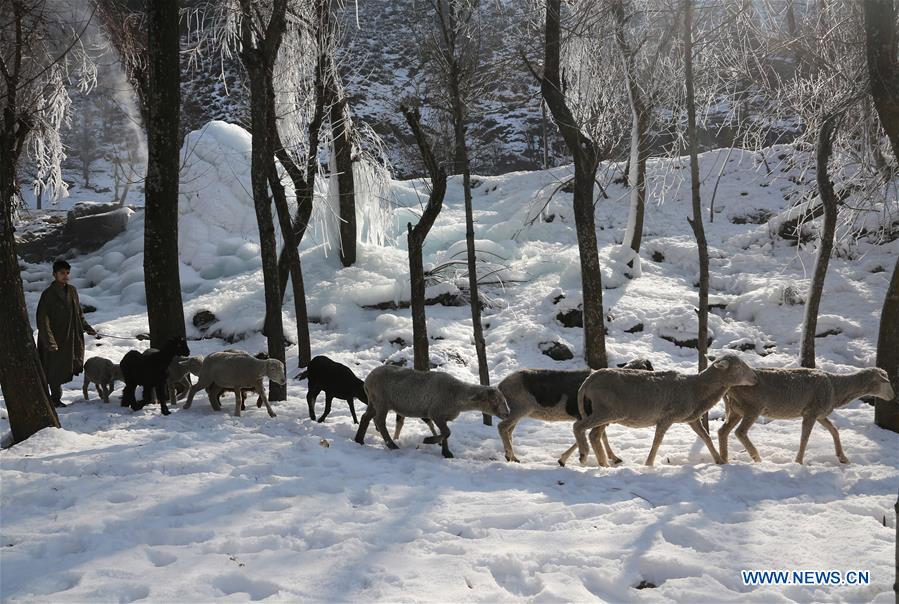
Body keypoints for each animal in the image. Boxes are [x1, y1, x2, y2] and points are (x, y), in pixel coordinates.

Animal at [358, 366, 512, 460]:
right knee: (380, 422)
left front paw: (446, 453)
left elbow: (446, 434)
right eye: (495, 400)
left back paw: (359, 440)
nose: (508, 414)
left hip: (373, 401)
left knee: (365, 417)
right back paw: (392, 445)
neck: (456, 394)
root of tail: (367, 380)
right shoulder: (436, 413)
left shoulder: (443, 417)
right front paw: (429, 440)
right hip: (381, 401)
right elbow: (447, 432)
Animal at [500, 356, 652, 464]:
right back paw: (509, 455)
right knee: (502, 427)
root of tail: (502, 385)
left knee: (509, 431)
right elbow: (592, 435)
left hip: (516, 413)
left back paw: (513, 458)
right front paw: (566, 460)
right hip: (519, 410)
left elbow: (601, 436)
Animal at [568, 354, 760, 468]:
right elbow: (657, 441)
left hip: (606, 412)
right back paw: (583, 456)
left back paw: (603, 464)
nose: (755, 378)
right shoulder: (667, 417)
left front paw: (719, 460)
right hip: (606, 411)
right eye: (738, 367)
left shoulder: (692, 418)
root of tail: (588, 381)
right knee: (579, 426)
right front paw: (648, 464)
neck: (696, 389)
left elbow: (706, 437)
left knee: (594, 435)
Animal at [716, 366, 892, 464]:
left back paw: (724, 459)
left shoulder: (820, 414)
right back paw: (756, 458)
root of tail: (729, 386)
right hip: (752, 408)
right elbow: (805, 438)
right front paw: (799, 461)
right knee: (740, 432)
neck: (837, 388)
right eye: (886, 381)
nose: (893, 397)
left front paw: (842, 458)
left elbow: (834, 430)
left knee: (722, 431)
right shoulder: (811, 412)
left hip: (736, 410)